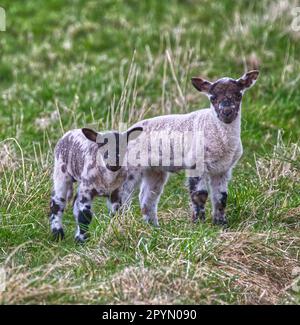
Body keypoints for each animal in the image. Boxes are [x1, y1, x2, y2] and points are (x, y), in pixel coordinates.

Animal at [118, 69, 258, 225]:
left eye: (239, 95)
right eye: (212, 98)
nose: (227, 112)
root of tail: (124, 134)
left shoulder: (223, 169)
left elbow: (221, 197)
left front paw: (220, 223)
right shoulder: (196, 162)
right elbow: (200, 195)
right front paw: (199, 222)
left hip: (154, 170)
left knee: (147, 197)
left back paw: (153, 226)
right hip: (130, 166)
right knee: (121, 195)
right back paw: (120, 220)